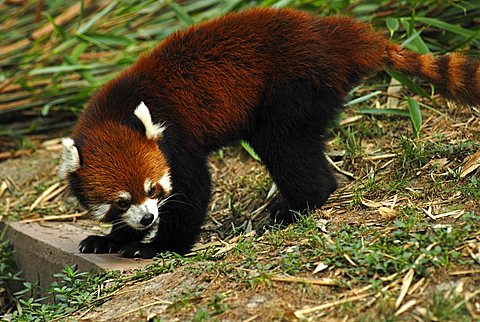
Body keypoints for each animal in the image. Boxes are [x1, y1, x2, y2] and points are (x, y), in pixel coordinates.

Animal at [60, 8, 480, 260]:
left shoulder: (175, 137)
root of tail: (335, 34)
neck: (115, 110)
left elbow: (193, 191)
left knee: (286, 147)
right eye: (121, 202)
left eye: (153, 189)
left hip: (292, 87)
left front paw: (159, 247)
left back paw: (294, 207)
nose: (148, 219)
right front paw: (112, 238)